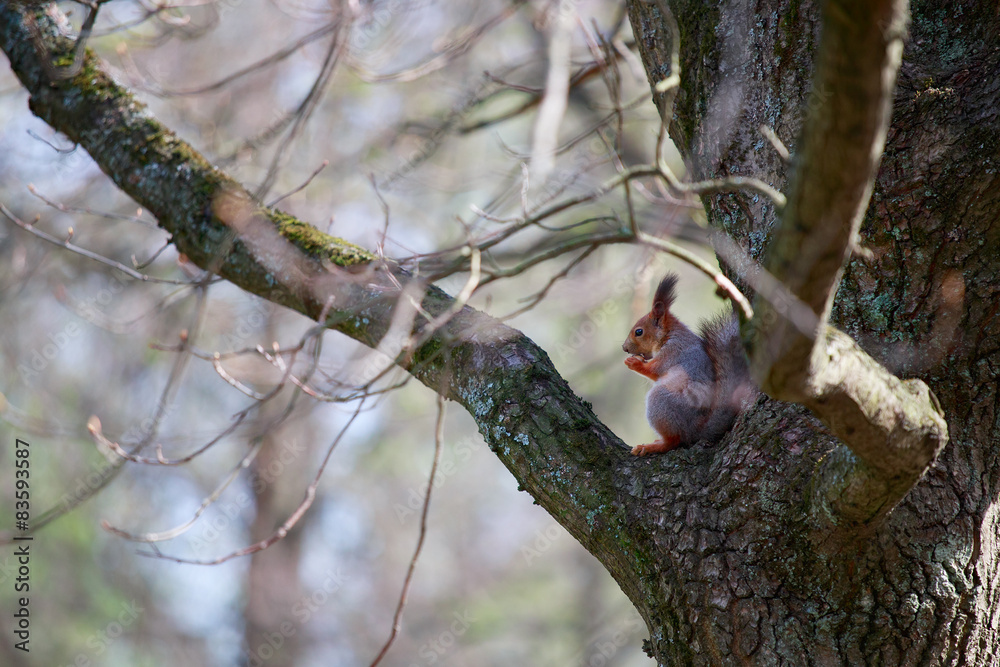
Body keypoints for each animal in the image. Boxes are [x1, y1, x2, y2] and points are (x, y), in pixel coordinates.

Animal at [616, 274, 756, 456]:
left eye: (638, 332)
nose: (624, 348)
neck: (669, 335)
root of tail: (696, 430)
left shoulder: (673, 352)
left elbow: (654, 369)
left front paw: (633, 362)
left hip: (661, 402)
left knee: (675, 441)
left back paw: (652, 446)